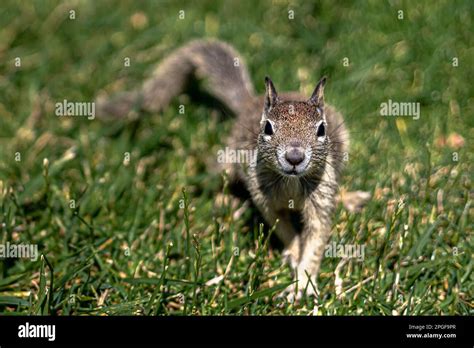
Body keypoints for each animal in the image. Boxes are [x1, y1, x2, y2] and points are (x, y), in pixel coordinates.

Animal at [96, 38, 370, 300]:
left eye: (321, 129)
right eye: (268, 128)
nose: (294, 156)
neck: (291, 181)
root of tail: (251, 102)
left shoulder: (320, 198)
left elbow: (315, 240)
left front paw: (303, 283)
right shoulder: (264, 197)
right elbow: (282, 227)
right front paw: (293, 252)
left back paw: (349, 198)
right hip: (226, 163)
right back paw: (225, 201)